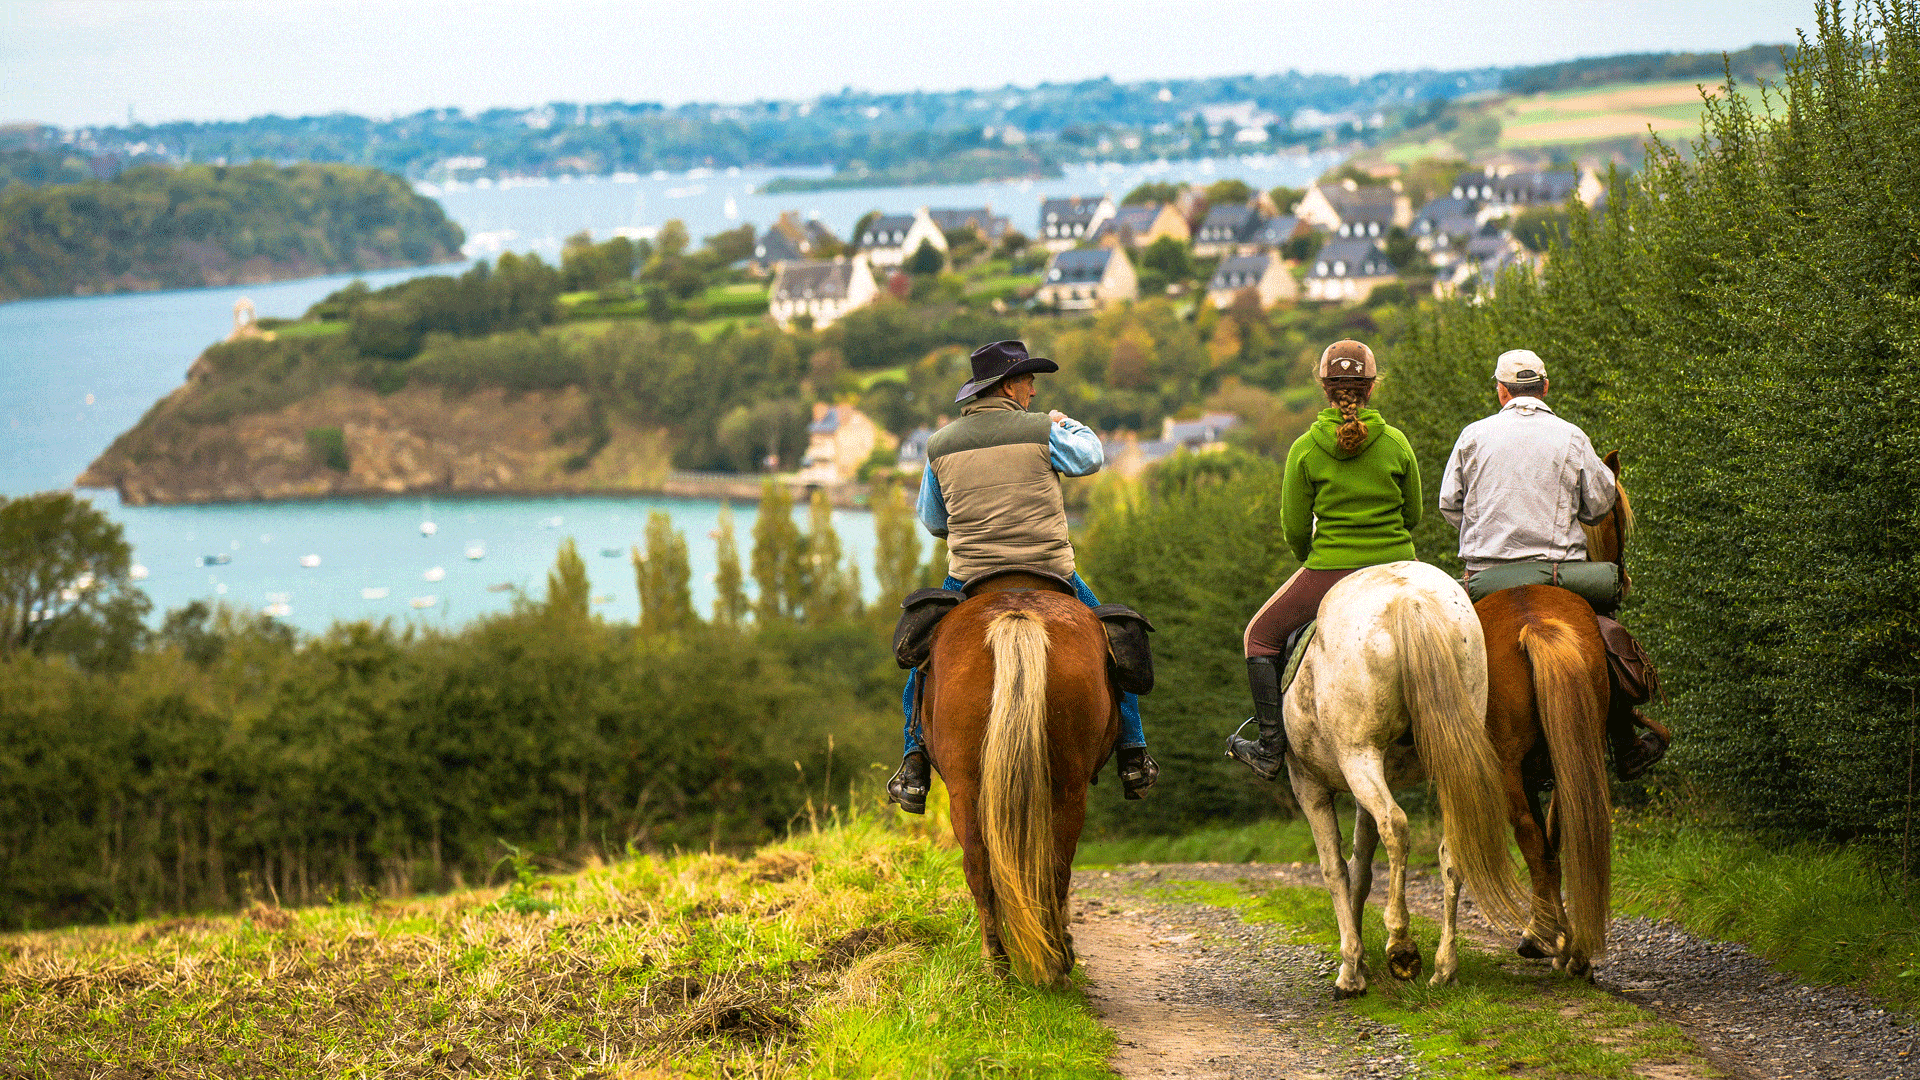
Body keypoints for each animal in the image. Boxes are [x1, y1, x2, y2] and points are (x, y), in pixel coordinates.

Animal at [921, 572, 1121, 983]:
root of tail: (1016, 616)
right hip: (1066, 788)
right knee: (1051, 866)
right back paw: (1047, 960)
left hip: (968, 790)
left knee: (983, 868)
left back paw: (1002, 964)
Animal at [1466, 447, 1635, 976]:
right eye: (1620, 518)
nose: (1624, 578)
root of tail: (1535, 623)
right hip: (1572, 750)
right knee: (1566, 828)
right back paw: (1576, 949)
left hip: (1507, 764)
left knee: (1530, 835)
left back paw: (1545, 939)